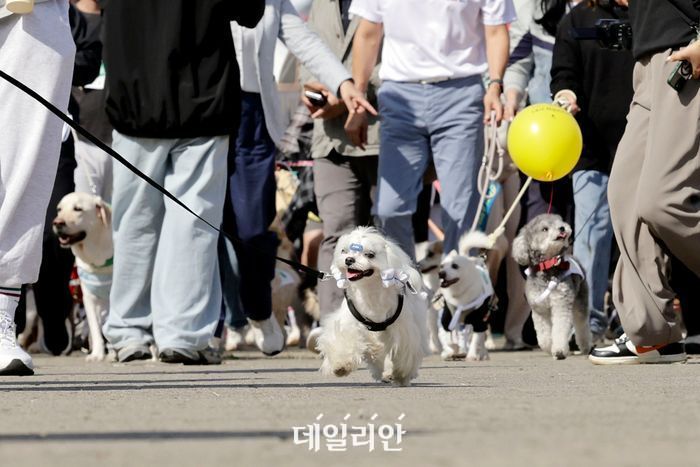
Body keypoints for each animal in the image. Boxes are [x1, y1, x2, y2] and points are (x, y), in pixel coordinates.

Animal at [52, 193, 113, 362]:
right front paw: (97, 354)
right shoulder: (89, 298)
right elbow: (95, 329)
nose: (57, 223)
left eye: (78, 209)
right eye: (59, 209)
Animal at [316, 228, 426, 388]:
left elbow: (401, 350)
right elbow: (345, 338)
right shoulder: (348, 323)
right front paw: (341, 365)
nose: (349, 260)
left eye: (370, 254)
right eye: (344, 251)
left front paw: (400, 374)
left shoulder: (402, 329)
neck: (370, 290)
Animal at [440, 231, 494, 362]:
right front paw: (450, 351)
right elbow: (448, 340)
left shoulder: (479, 321)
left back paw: (483, 354)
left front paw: (472, 355)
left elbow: (476, 339)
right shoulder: (447, 320)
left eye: (455, 266)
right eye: (441, 266)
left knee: (480, 338)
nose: (441, 273)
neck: (458, 294)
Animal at [508, 214, 592, 360]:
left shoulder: (561, 303)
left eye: (559, 220)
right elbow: (543, 335)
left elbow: (560, 329)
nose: (562, 228)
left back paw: (585, 347)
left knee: (582, 325)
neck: (548, 266)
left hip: (580, 300)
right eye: (545, 229)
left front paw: (559, 350)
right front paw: (549, 347)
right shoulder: (539, 310)